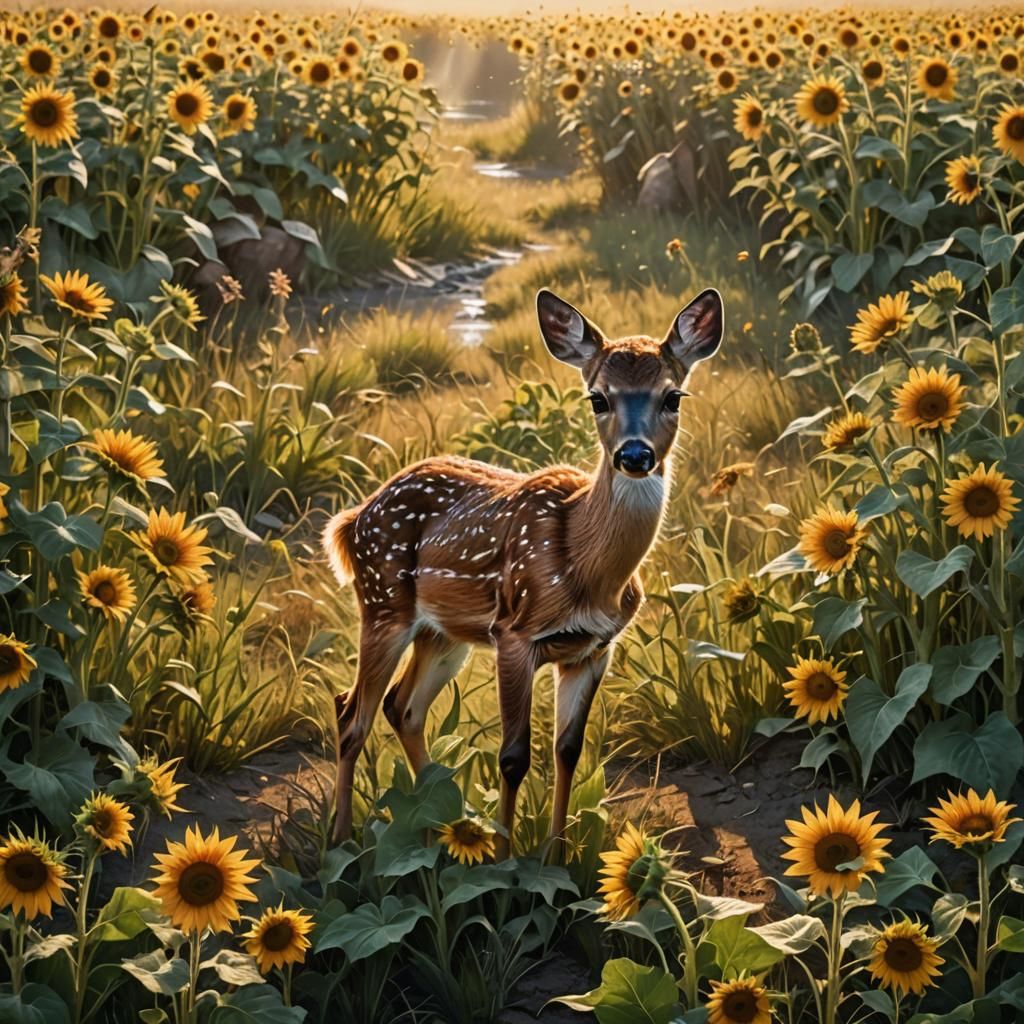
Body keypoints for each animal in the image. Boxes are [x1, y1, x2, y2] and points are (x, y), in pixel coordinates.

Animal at [323, 287, 724, 856]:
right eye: (598, 398)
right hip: (383, 605)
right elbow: (513, 757)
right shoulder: (514, 633)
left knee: (402, 707)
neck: (586, 568)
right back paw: (342, 842)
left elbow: (568, 751)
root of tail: (353, 518)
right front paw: (506, 861)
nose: (634, 454)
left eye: (673, 396)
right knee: (351, 713)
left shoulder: (592, 650)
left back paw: (446, 825)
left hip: (445, 634)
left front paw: (555, 854)